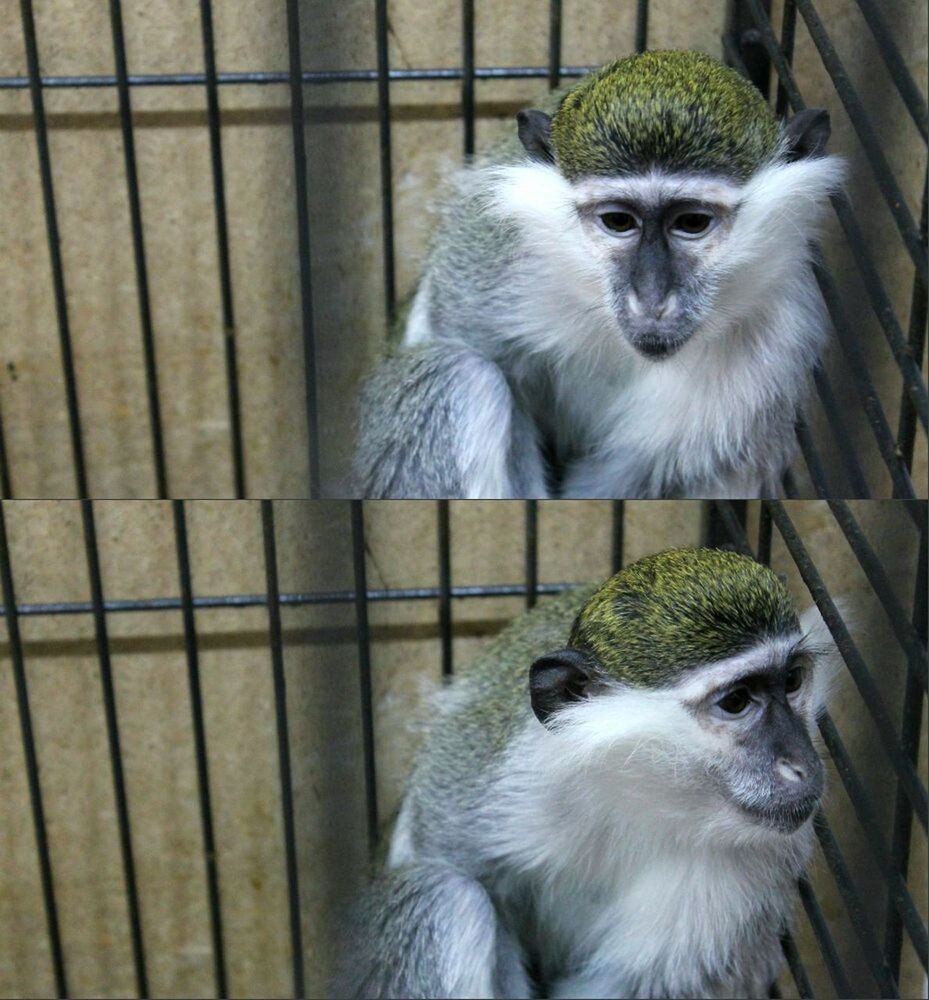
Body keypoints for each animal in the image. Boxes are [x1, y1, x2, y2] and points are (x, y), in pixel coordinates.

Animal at [334, 548, 832, 1000]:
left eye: (792, 681)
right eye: (736, 701)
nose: (804, 766)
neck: (640, 794)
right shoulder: (499, 785)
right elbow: (445, 857)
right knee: (444, 897)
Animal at [352, 50, 844, 496]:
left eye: (692, 223)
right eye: (618, 221)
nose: (651, 298)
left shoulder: (777, 338)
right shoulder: (495, 265)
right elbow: (463, 342)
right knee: (458, 373)